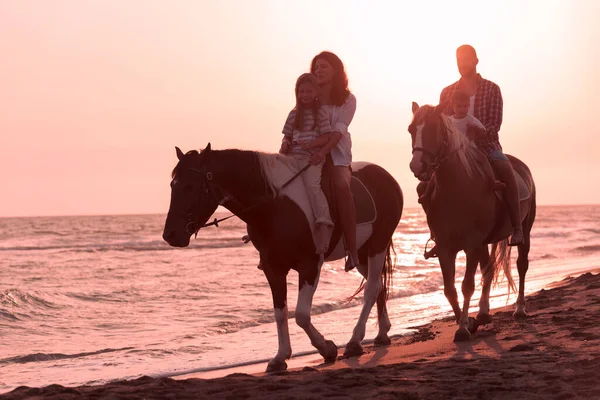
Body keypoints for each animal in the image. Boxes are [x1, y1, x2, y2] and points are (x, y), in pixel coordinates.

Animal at [163, 145, 404, 372]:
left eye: (190, 186)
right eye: (173, 185)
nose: (170, 235)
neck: (275, 206)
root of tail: (386, 176)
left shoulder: (310, 266)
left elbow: (301, 315)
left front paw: (327, 348)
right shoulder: (273, 268)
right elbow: (280, 312)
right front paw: (280, 357)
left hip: (377, 245)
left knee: (371, 288)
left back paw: (354, 342)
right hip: (361, 253)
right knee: (378, 285)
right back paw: (382, 334)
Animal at [410, 103, 536, 340]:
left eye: (433, 128)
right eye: (411, 129)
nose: (417, 165)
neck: (458, 186)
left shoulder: (471, 244)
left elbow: (466, 285)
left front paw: (462, 329)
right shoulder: (445, 247)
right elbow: (449, 289)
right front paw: (467, 321)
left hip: (525, 230)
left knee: (521, 265)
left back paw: (520, 309)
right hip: (484, 243)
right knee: (488, 269)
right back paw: (484, 313)